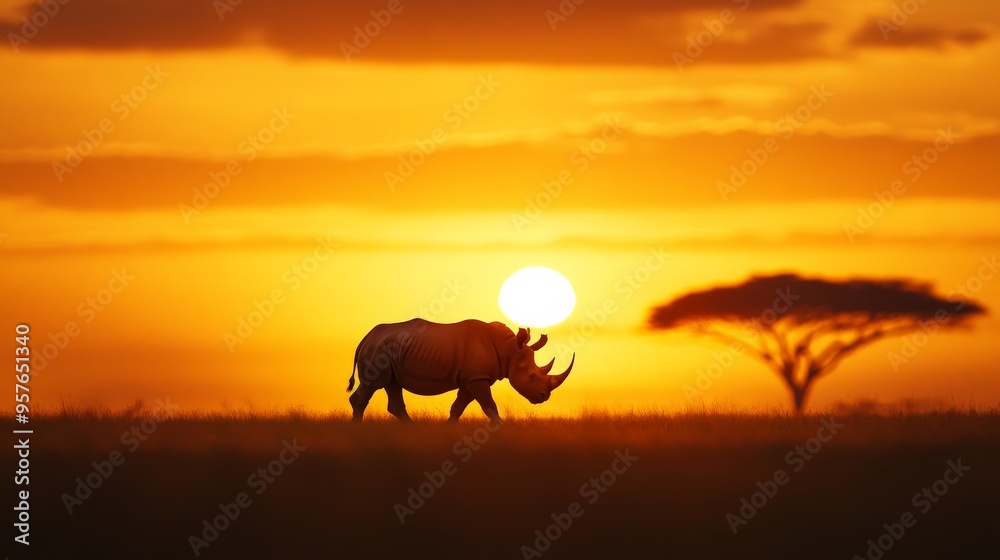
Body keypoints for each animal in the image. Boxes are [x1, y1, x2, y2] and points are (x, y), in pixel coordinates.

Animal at [347, 319, 574, 423]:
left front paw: (448, 429)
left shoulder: (471, 379)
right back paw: (358, 432)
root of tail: (366, 338)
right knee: (373, 385)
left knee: (392, 385)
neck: (509, 350)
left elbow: (458, 407)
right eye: (531, 376)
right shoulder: (477, 379)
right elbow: (489, 406)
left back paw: (412, 430)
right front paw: (502, 427)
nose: (543, 397)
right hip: (377, 350)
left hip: (388, 351)